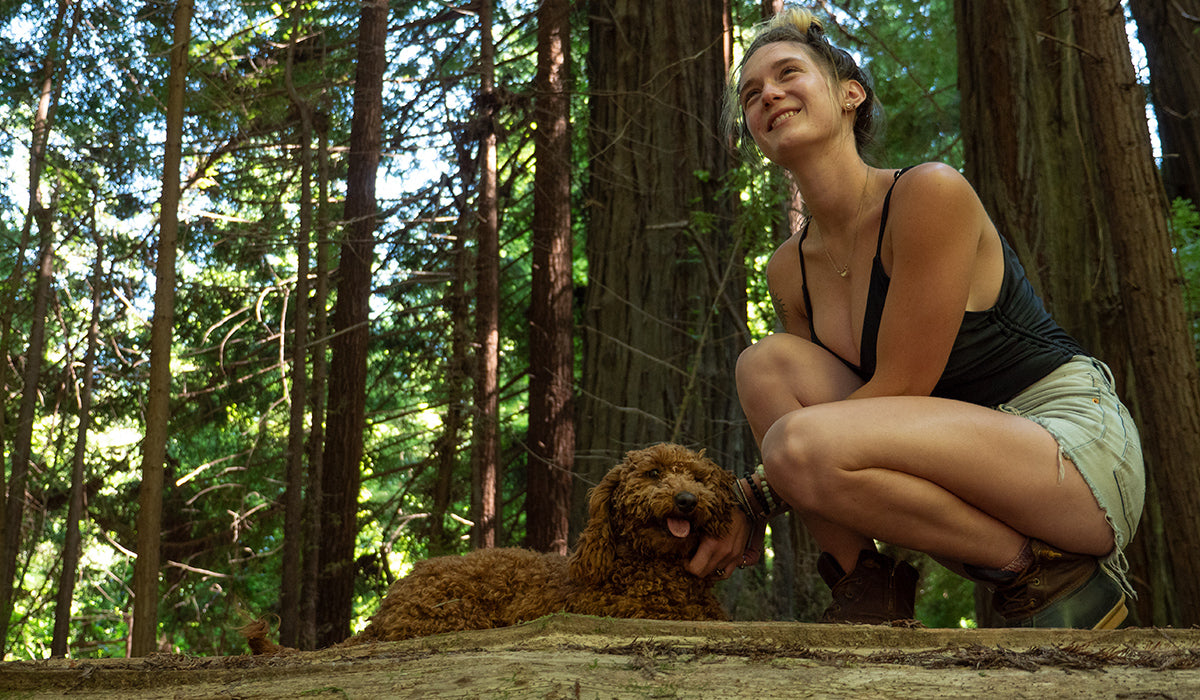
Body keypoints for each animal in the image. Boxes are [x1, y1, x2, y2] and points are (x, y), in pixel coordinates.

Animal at [241, 444, 729, 653]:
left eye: (699, 478)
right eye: (653, 473)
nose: (687, 499)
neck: (653, 566)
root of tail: (382, 611)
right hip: (449, 613)